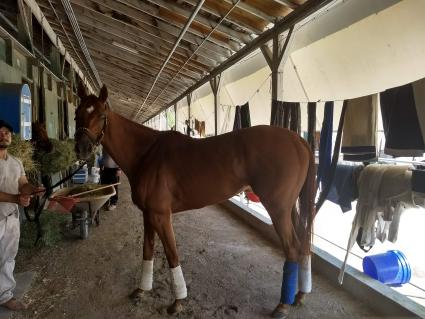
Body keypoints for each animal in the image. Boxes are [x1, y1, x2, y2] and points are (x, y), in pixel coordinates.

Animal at [73, 84, 314, 318]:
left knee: (292, 248)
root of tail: (299, 140)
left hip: (278, 209)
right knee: (302, 244)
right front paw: (142, 290)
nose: (81, 149)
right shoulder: (148, 214)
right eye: (77, 114)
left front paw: (178, 302)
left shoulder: (161, 216)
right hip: (290, 208)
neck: (147, 154)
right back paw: (300, 295)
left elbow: (172, 254)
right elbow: (147, 250)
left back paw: (283, 305)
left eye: (101, 115)